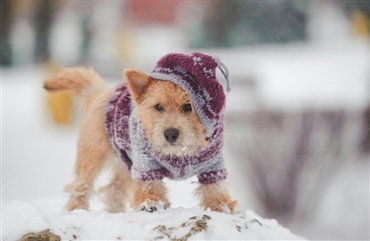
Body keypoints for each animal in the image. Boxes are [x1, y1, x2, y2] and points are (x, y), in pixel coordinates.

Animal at [44, 52, 237, 213]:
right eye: (158, 106)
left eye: (188, 106)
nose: (170, 134)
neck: (180, 154)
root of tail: (101, 93)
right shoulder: (145, 164)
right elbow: (148, 185)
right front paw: (150, 202)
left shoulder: (213, 165)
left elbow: (214, 188)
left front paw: (222, 206)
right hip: (93, 156)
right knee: (81, 186)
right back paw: (78, 210)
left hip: (126, 164)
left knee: (114, 188)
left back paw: (115, 212)